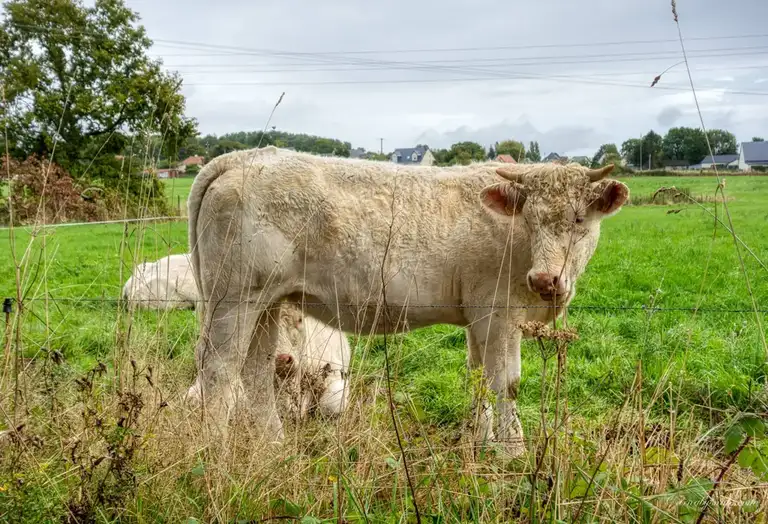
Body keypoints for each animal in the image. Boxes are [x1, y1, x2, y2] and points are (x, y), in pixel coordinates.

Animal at [185, 146, 628, 456]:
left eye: (578, 219)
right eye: (531, 220)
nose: (544, 278)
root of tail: (248, 155)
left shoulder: (478, 318)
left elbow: (477, 377)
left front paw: (478, 444)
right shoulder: (500, 314)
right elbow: (506, 383)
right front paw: (512, 455)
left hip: (268, 302)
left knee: (256, 372)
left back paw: (273, 447)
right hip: (234, 298)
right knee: (220, 371)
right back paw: (214, 455)